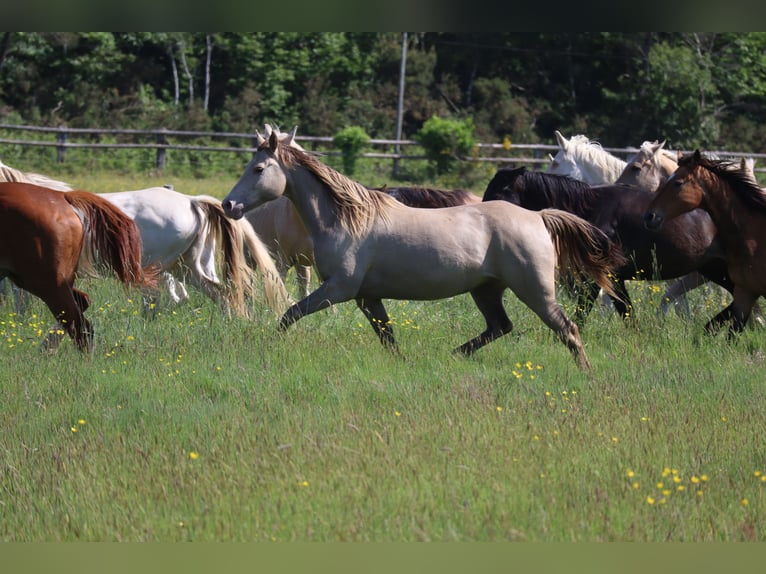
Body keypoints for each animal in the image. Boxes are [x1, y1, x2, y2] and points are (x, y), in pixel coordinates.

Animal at [0, 161, 289, 317]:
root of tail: (191, 201)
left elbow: (19, 297)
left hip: (158, 268)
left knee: (159, 298)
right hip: (189, 268)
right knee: (222, 293)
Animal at [222, 129, 626, 370]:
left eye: (259, 169)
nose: (229, 205)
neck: (348, 218)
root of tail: (539, 216)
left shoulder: (339, 289)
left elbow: (289, 313)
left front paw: (269, 347)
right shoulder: (367, 296)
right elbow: (386, 335)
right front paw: (402, 363)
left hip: (535, 290)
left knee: (567, 328)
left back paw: (586, 372)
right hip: (486, 290)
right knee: (501, 325)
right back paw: (455, 355)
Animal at [482, 166, 735, 326]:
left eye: (497, 193)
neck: (588, 210)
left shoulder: (601, 277)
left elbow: (589, 310)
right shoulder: (615, 278)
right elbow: (625, 313)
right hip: (714, 270)